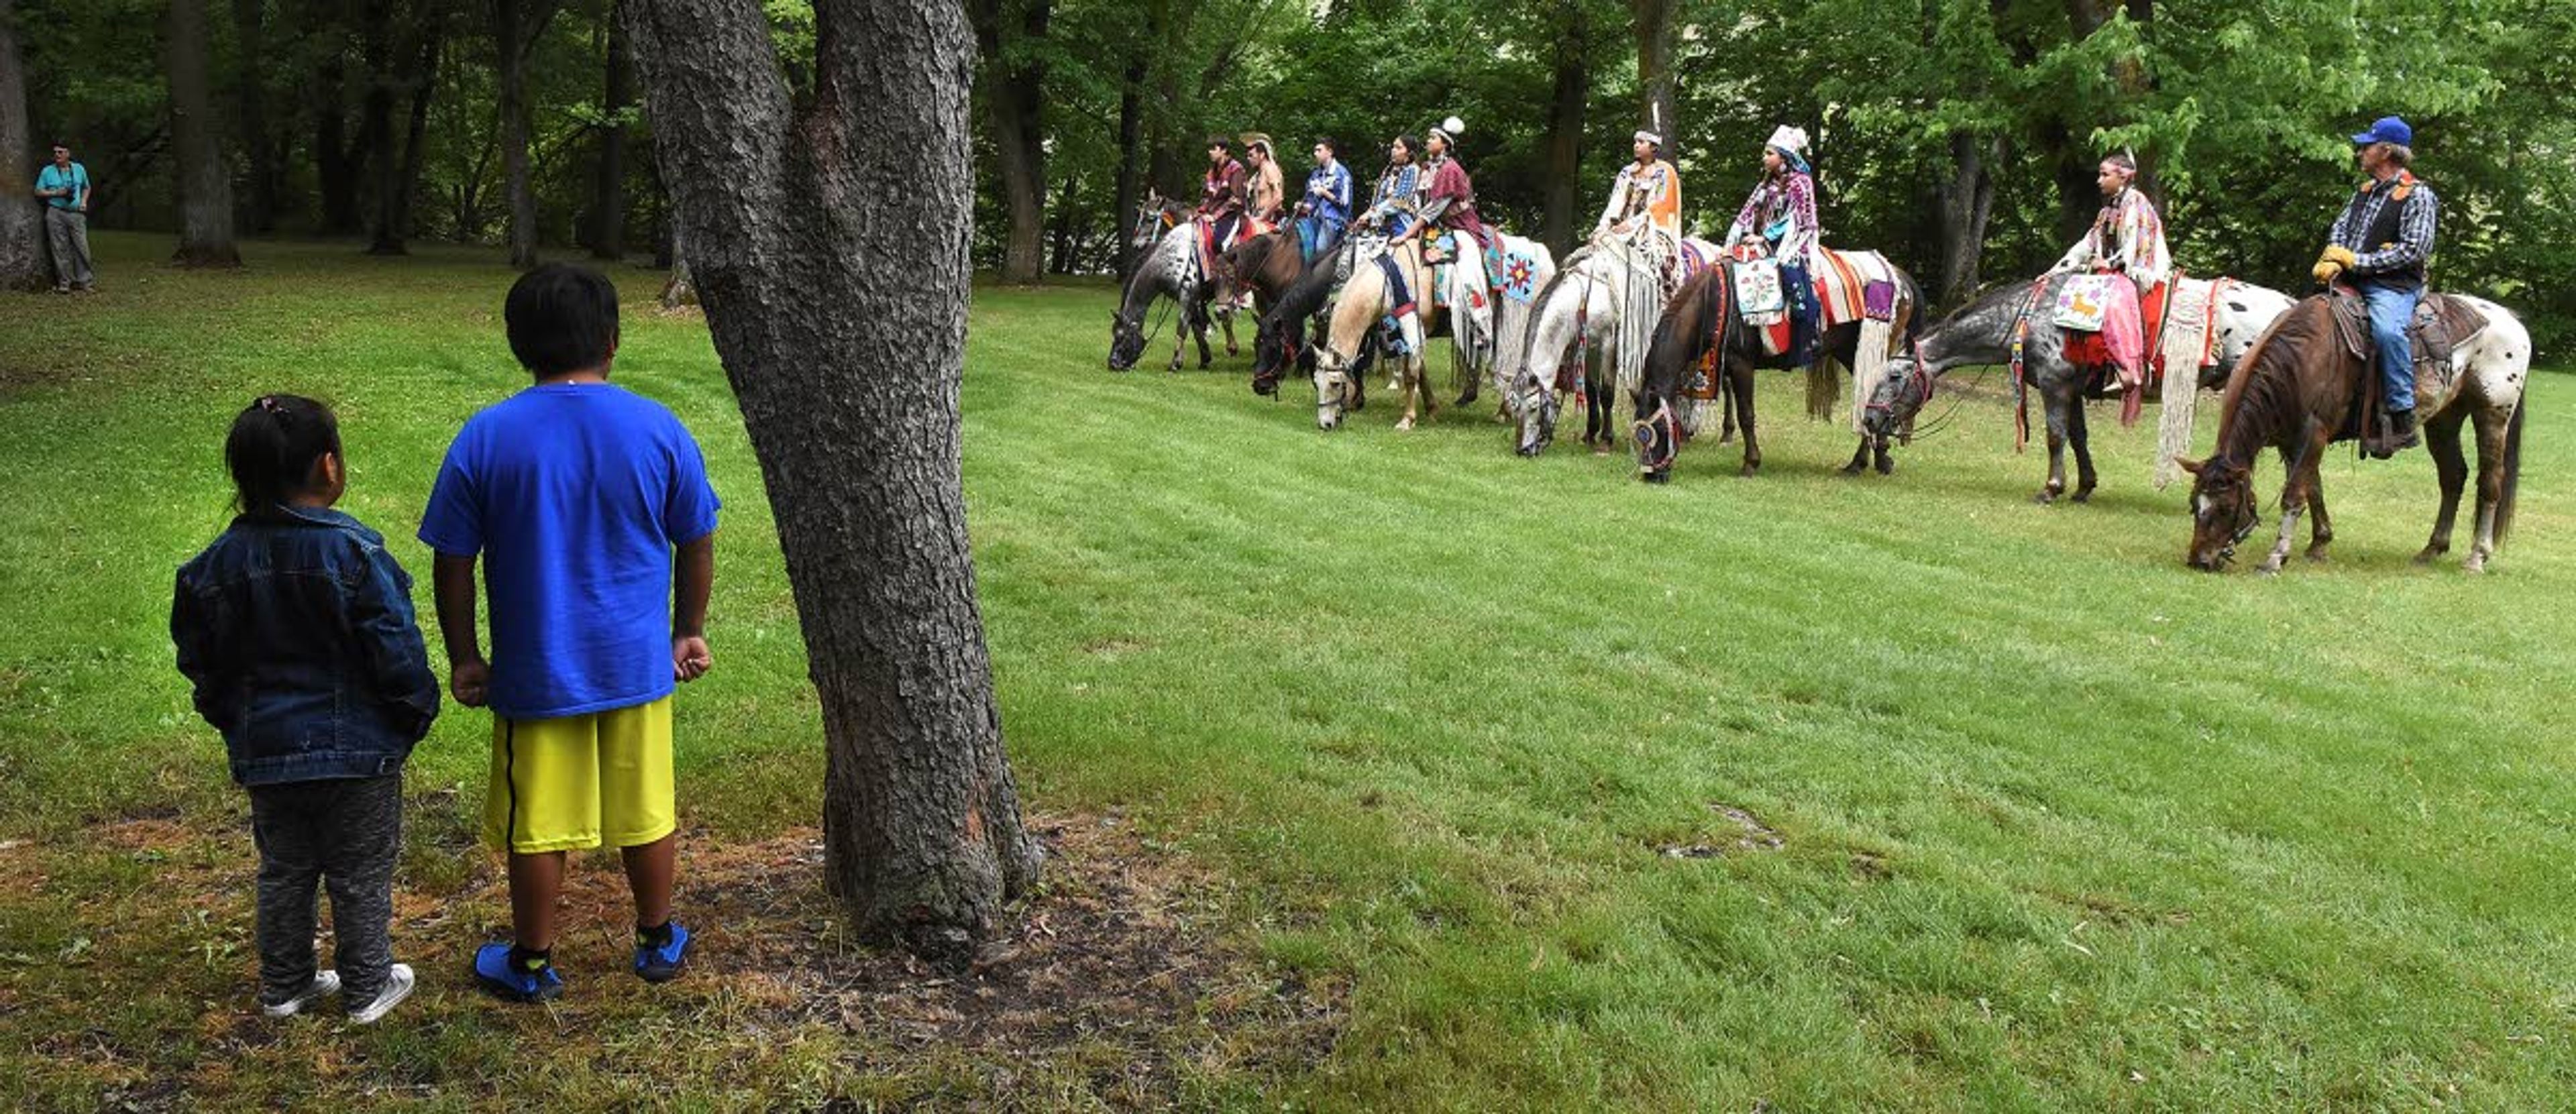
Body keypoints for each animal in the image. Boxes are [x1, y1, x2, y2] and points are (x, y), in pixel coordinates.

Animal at [1627, 253, 1916, 478]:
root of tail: (1897, 276)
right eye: (1639, 431)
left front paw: (1750, 463)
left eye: (1659, 430)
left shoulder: (1740, 364)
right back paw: (1871, 460)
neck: (1714, 301)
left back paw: (1868, 461)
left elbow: (1747, 415)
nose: (1651, 474)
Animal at [1865, 275, 2308, 502]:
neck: (2031, 317)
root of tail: (2293, 306)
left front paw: (2052, 488)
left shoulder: (2054, 386)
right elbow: (2078, 437)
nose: (1870, 419)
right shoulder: (2072, 390)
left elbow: (2055, 437)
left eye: (1894, 376)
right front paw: (2084, 487)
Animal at [2174, 290, 2534, 573]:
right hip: (2445, 419)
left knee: (2490, 483)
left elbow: (2294, 495)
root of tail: (2511, 320)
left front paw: (2276, 557)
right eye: (2193, 504)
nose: (2199, 561)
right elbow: (2313, 490)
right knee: (2453, 477)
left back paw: (2477, 557)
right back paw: (2432, 548)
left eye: (2225, 508)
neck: (2303, 360)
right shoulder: (2292, 440)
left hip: (2492, 414)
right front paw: (2319, 543)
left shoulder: (2313, 434)